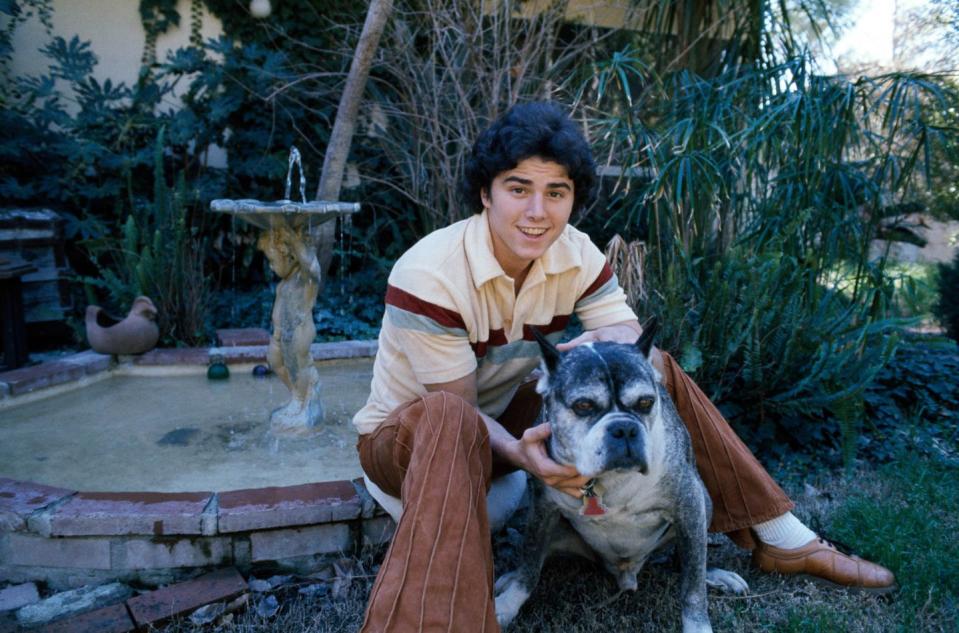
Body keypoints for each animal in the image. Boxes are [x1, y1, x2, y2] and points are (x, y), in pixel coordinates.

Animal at [496, 320, 752, 632]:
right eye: (583, 406)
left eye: (646, 402)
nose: (624, 428)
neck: (607, 482)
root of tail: (626, 572)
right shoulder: (542, 508)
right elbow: (531, 560)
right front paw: (509, 603)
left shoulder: (689, 504)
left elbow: (692, 585)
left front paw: (697, 625)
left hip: (704, 503)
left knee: (688, 560)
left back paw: (714, 574)